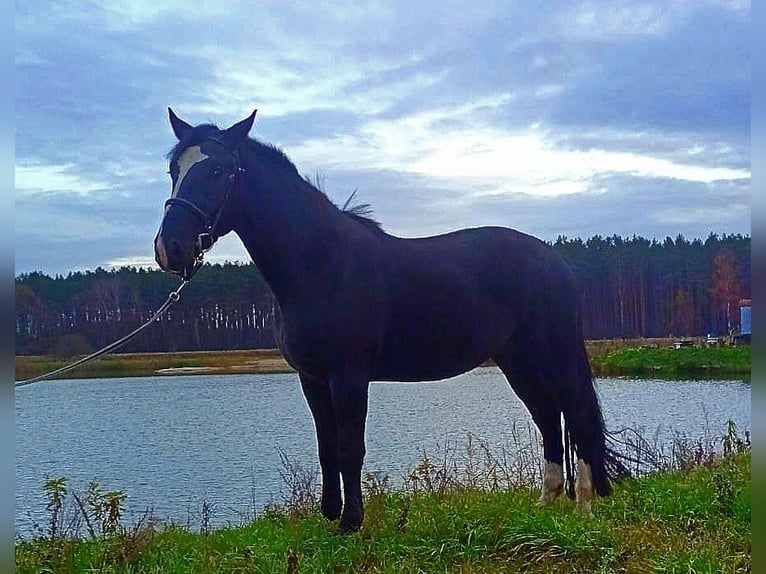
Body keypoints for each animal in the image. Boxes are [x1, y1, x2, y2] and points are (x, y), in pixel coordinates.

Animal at [154, 109, 632, 536]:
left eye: (218, 170)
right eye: (173, 170)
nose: (169, 248)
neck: (321, 266)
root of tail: (555, 261)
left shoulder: (349, 375)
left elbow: (350, 447)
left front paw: (351, 523)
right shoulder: (312, 377)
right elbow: (327, 448)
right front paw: (330, 515)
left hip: (556, 355)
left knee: (578, 415)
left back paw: (585, 508)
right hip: (517, 361)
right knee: (549, 417)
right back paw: (545, 506)